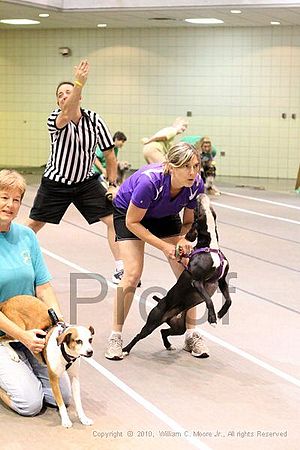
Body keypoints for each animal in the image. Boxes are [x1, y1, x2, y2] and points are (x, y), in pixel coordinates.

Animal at [0, 296, 94, 428]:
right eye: (79, 341)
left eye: (90, 340)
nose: (90, 352)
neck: (65, 351)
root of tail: (7, 301)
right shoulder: (54, 379)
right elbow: (60, 403)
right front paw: (66, 420)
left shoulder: (75, 378)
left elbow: (78, 402)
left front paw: (83, 418)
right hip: (18, 331)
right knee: (2, 339)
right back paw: (13, 354)